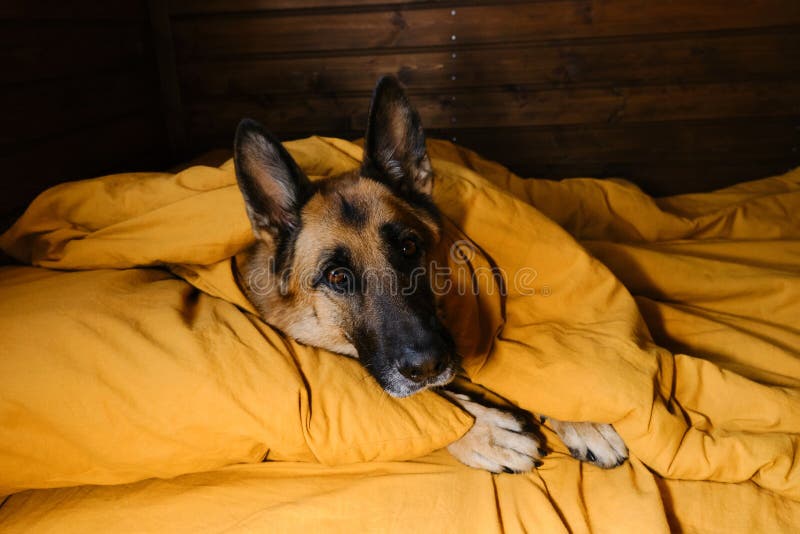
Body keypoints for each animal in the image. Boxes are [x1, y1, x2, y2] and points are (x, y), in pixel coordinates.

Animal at [231, 76, 624, 474]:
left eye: (408, 247)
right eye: (337, 277)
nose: (428, 365)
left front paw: (584, 420)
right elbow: (438, 402)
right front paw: (485, 432)